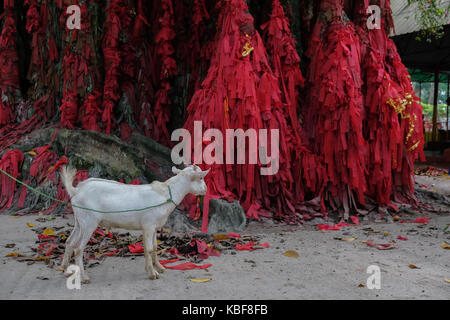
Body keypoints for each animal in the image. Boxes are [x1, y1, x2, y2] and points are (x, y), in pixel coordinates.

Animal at [59, 165, 210, 282]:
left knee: (70, 242)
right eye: (201, 178)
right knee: (79, 248)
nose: (205, 189)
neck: (165, 194)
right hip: (89, 222)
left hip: (80, 221)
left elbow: (154, 247)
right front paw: (152, 274)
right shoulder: (149, 225)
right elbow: (149, 249)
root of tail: (76, 190)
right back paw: (84, 277)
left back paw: (67, 270)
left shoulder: (153, 227)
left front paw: (158, 268)